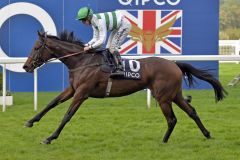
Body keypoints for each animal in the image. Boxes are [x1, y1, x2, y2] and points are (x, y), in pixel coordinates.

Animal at [23, 30, 227, 144]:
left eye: (36, 48)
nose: (26, 66)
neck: (82, 61)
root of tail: (175, 64)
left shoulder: (82, 92)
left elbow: (67, 115)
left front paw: (50, 137)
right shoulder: (73, 89)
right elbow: (51, 103)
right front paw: (30, 121)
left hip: (163, 97)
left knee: (172, 119)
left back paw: (163, 141)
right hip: (174, 94)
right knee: (191, 111)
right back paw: (207, 134)